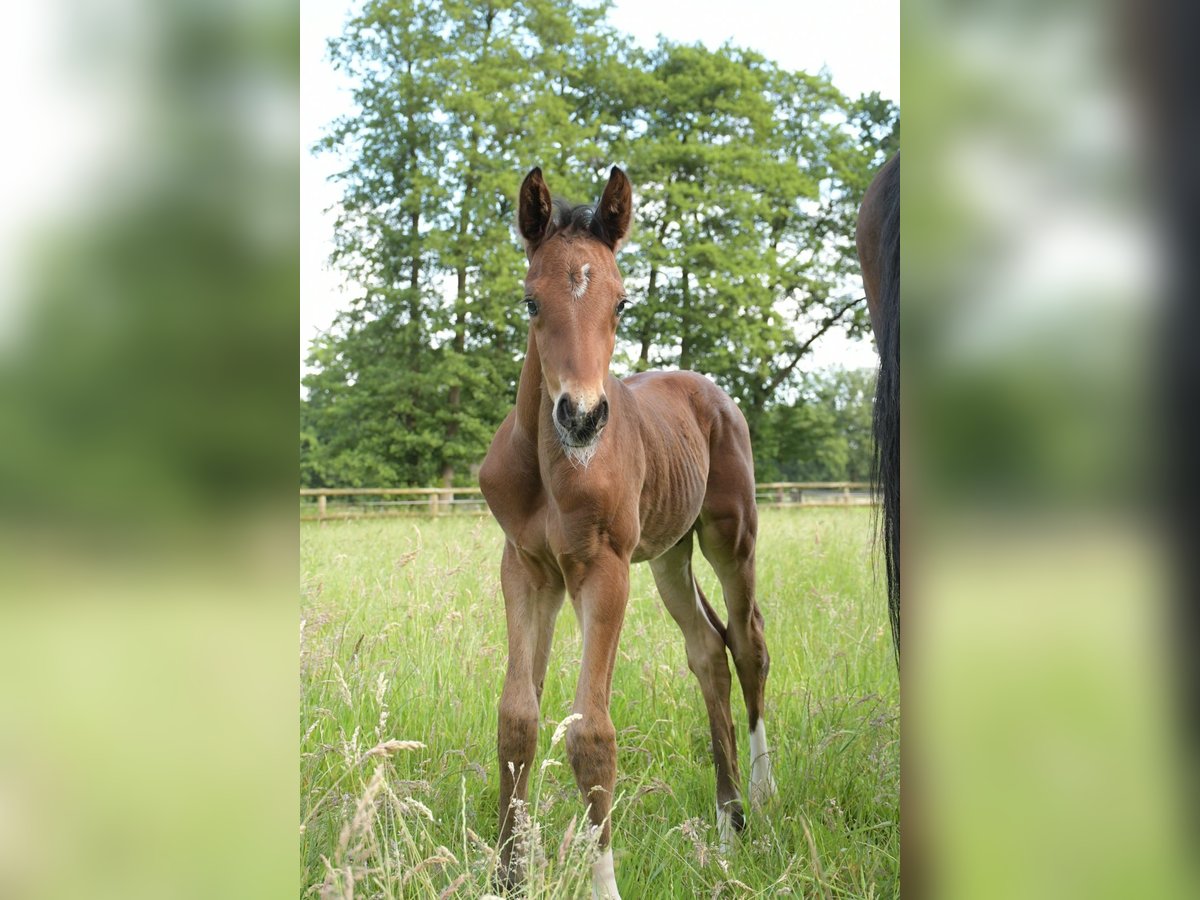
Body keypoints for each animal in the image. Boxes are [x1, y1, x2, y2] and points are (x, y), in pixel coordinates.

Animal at [477, 165, 777, 897]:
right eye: (530, 302)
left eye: (620, 303)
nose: (582, 416)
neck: (550, 466)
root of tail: (708, 388)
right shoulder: (525, 569)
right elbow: (517, 719)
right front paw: (508, 875)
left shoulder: (602, 570)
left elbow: (591, 734)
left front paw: (602, 883)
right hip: (669, 556)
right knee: (708, 650)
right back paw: (727, 827)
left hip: (731, 536)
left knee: (749, 642)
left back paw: (761, 799)